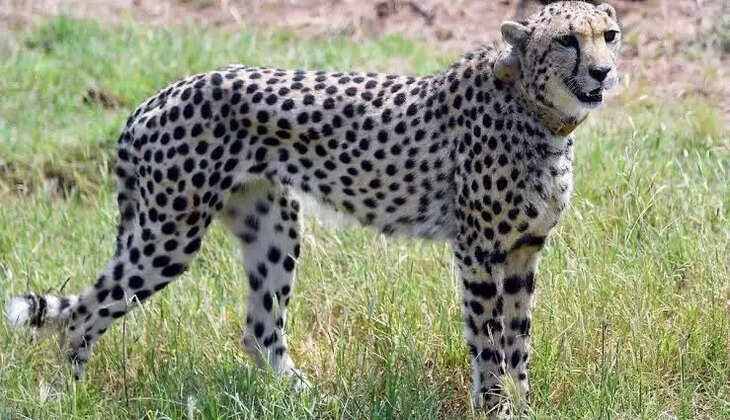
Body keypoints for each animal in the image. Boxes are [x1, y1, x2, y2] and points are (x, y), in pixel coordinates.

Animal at [5, 1, 621, 413]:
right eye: (567, 40)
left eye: (609, 35)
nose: (603, 71)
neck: (538, 113)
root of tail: (155, 98)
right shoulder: (478, 250)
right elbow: (488, 343)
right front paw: (496, 408)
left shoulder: (523, 251)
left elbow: (519, 343)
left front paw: (524, 404)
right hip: (168, 235)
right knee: (83, 314)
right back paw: (69, 397)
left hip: (273, 226)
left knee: (259, 331)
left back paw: (309, 400)